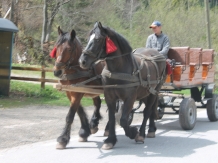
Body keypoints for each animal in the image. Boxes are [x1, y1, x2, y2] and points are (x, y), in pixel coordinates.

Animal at [79, 22, 166, 150]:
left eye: (98, 39)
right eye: (89, 37)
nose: (82, 61)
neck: (118, 69)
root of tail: (158, 55)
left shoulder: (130, 98)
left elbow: (124, 120)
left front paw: (133, 132)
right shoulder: (109, 96)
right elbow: (112, 117)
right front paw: (110, 140)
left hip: (155, 91)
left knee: (147, 111)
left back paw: (142, 134)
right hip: (145, 93)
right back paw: (151, 129)